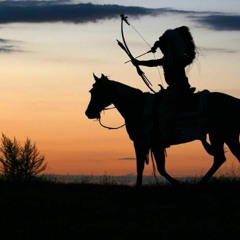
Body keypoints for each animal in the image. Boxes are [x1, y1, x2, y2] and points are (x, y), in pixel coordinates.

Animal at [85, 73, 240, 186]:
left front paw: (177, 184)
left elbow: (156, 168)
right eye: (91, 91)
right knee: (222, 158)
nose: (88, 113)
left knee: (220, 157)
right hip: (224, 135)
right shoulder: (146, 143)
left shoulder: (148, 142)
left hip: (221, 134)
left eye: (96, 91)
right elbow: (143, 167)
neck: (138, 106)